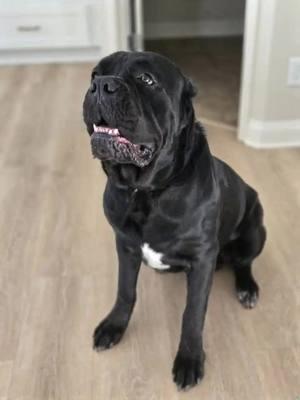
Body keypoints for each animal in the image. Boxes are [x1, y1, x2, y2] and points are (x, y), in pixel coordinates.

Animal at [82, 50, 268, 390]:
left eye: (146, 79)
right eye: (95, 75)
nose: (102, 85)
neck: (145, 191)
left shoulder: (202, 256)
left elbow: (192, 314)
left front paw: (189, 359)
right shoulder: (125, 245)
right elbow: (125, 291)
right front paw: (114, 326)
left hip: (255, 227)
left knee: (244, 262)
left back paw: (247, 287)